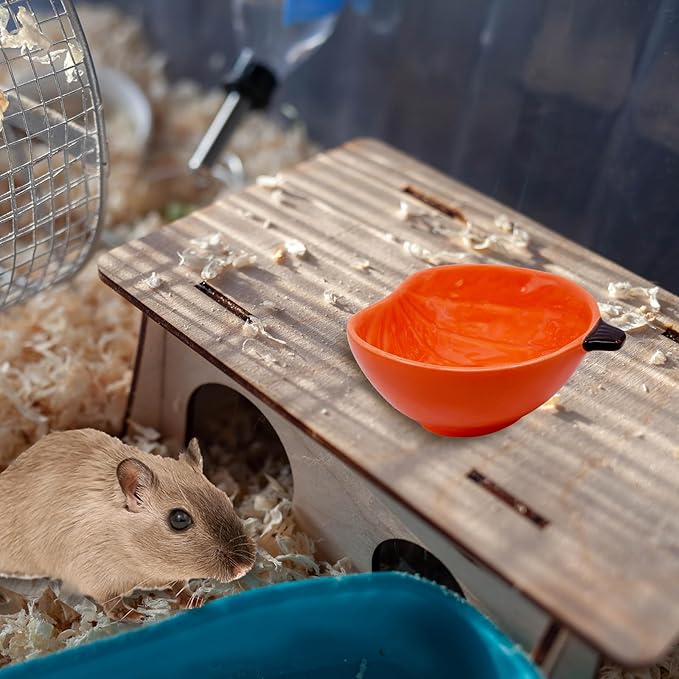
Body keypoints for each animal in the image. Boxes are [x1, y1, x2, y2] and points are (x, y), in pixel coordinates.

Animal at [0, 429, 256, 621]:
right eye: (179, 519)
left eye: (225, 497)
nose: (244, 568)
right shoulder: (94, 575)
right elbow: (111, 603)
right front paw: (136, 616)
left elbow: (180, 585)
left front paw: (197, 600)